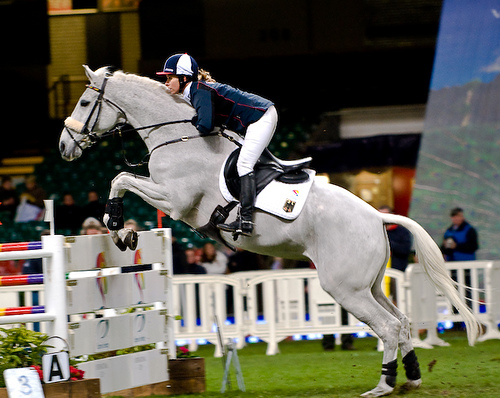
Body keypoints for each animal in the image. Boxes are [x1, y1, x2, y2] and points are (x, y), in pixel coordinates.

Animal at [60, 67, 482, 396]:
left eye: (84, 102)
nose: (64, 146)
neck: (178, 134)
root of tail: (378, 217)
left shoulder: (174, 201)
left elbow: (120, 179)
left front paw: (118, 228)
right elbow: (122, 179)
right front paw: (123, 233)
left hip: (344, 288)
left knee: (389, 326)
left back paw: (383, 385)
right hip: (370, 285)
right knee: (402, 321)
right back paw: (411, 378)